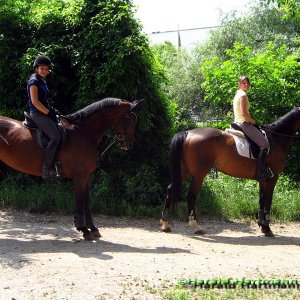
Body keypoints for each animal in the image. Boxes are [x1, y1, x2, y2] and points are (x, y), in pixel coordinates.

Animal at [0, 97, 142, 240]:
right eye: (130, 119)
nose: (129, 144)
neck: (83, 132)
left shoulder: (86, 176)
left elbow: (86, 202)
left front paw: (92, 228)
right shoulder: (80, 175)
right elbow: (80, 201)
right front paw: (84, 229)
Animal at [162, 106, 300, 237]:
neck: (276, 138)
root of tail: (187, 133)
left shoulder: (263, 179)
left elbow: (261, 200)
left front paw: (262, 226)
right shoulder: (273, 177)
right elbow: (268, 201)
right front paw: (267, 229)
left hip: (184, 171)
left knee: (170, 189)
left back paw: (165, 224)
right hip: (199, 174)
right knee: (191, 196)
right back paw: (195, 226)